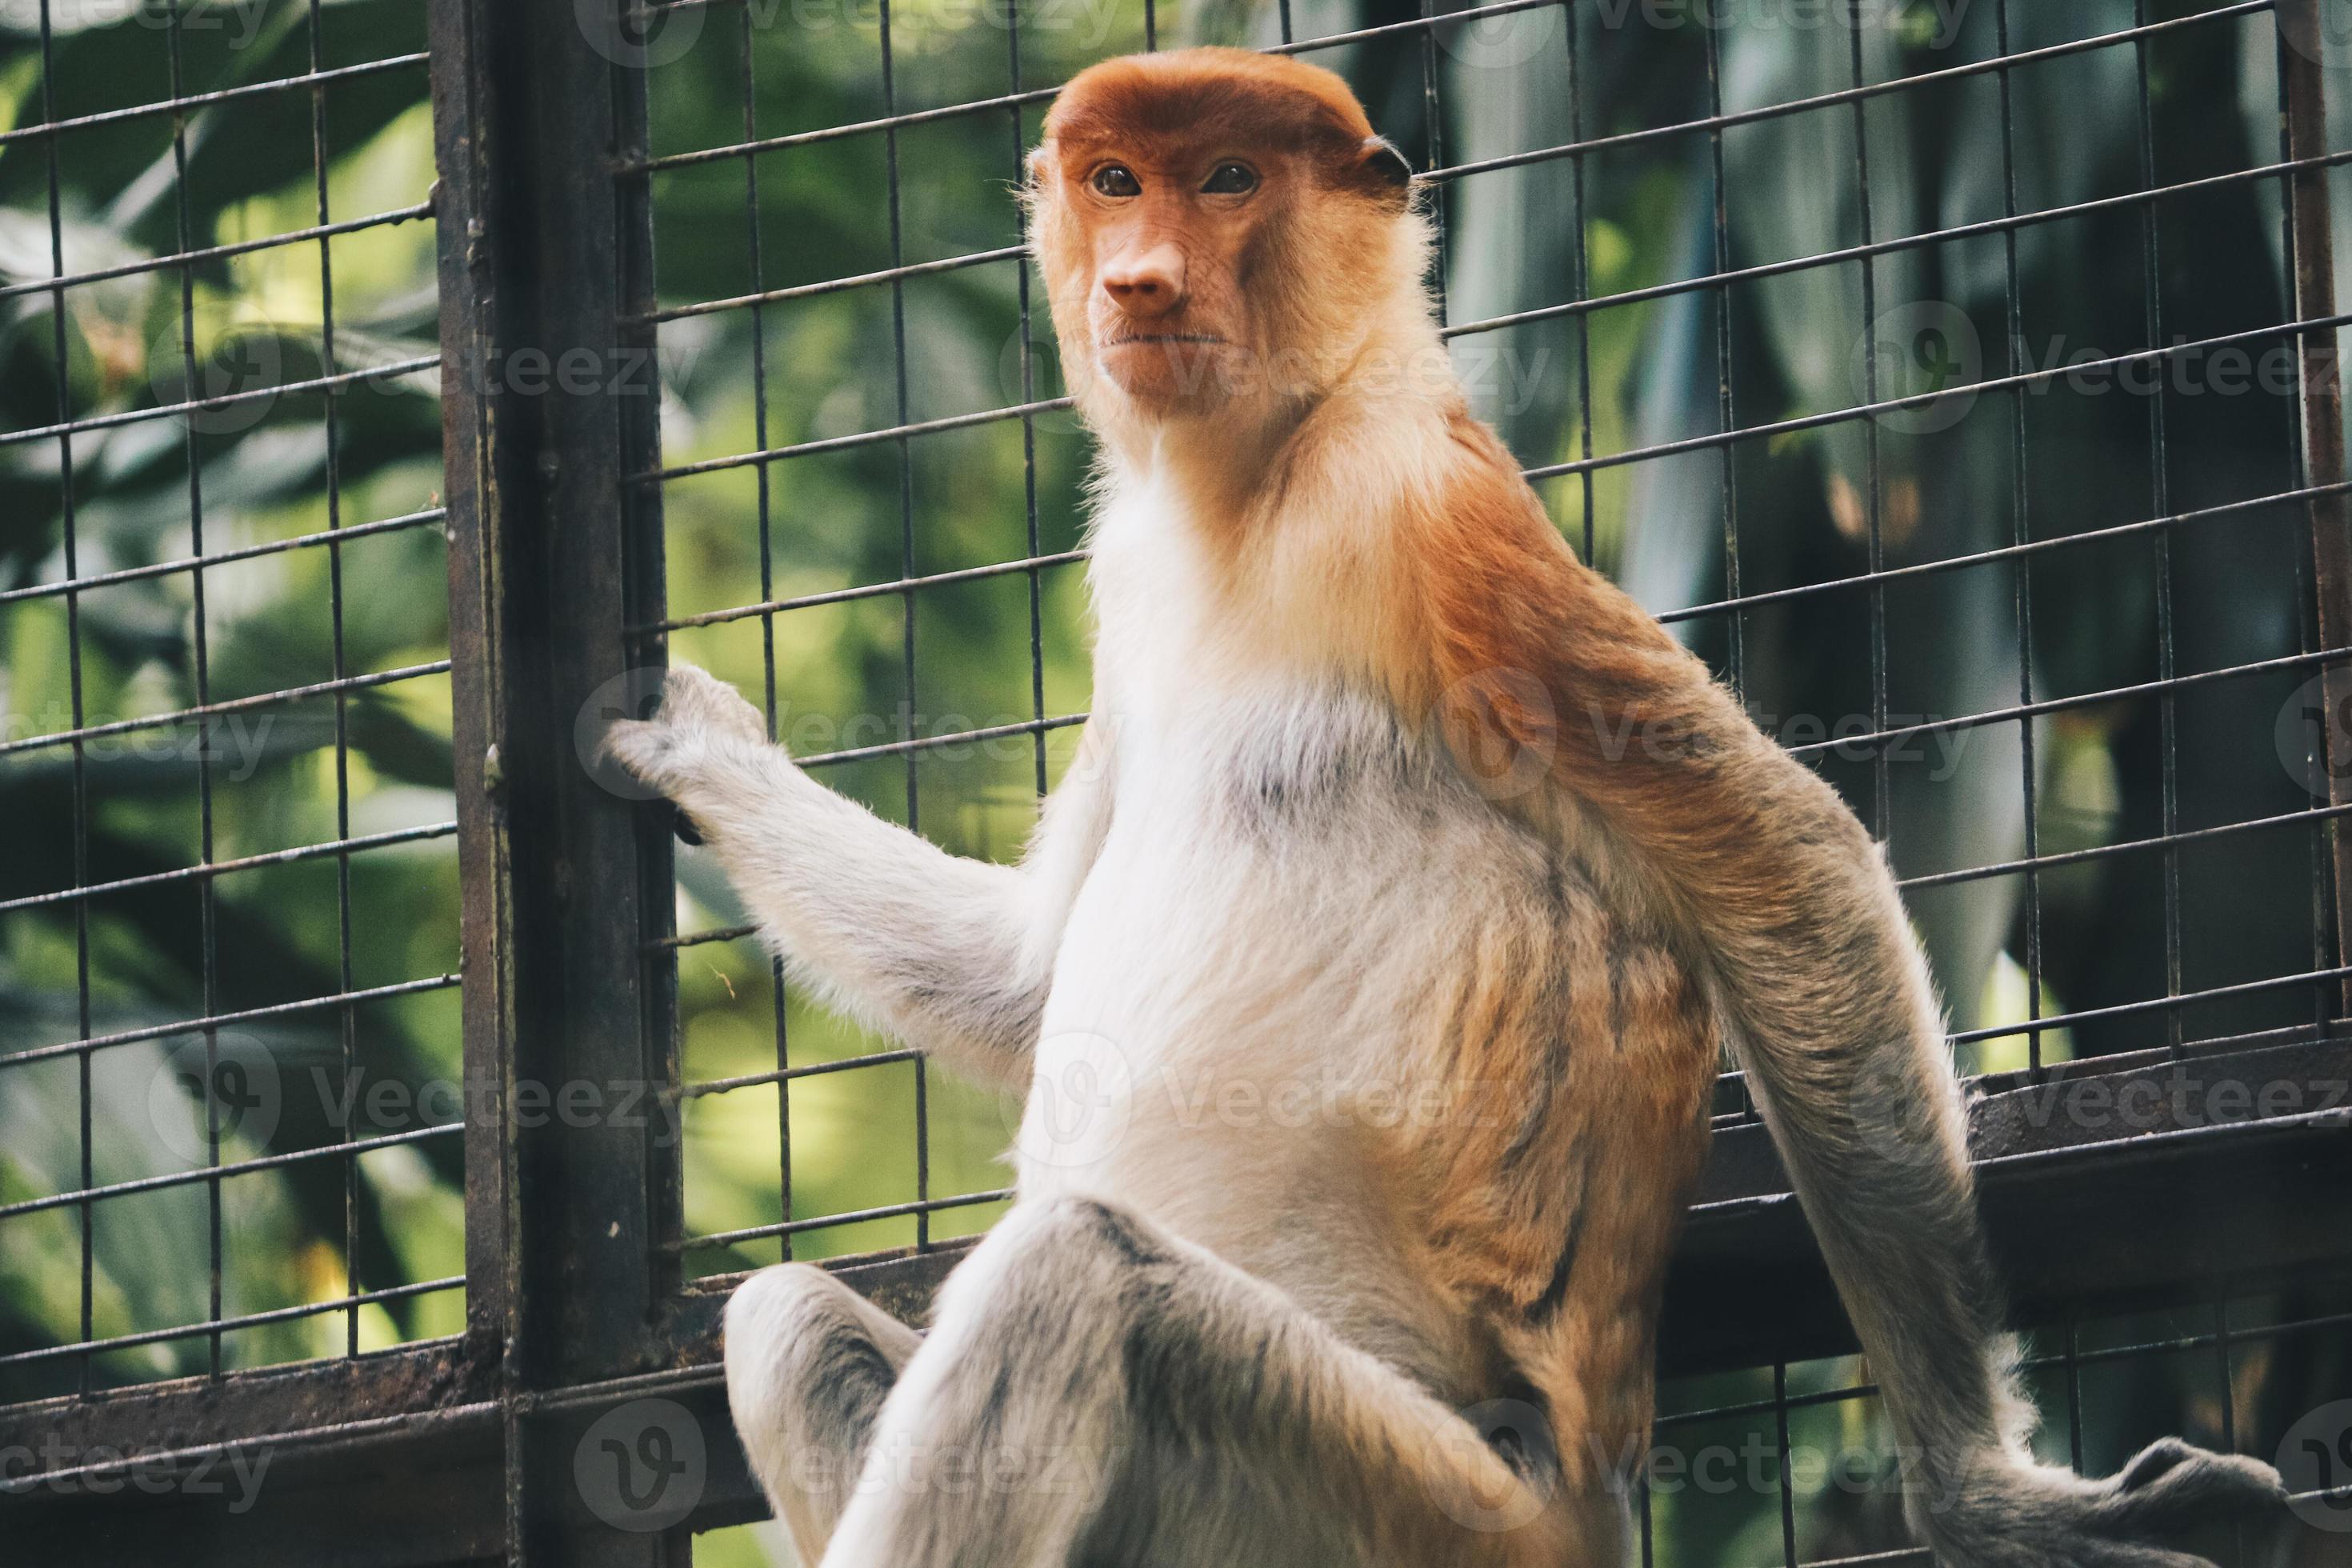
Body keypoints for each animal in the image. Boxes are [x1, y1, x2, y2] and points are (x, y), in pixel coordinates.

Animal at [602, 42, 2276, 1561]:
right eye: (1114, 182)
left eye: (1229, 178)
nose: (1135, 284)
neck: (1255, 484)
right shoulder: (1128, 578)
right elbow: (1024, 976)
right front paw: (693, 744)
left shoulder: (1417, 509)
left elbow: (1777, 858)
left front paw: (1990, 1496)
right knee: (786, 1319)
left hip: (1417, 1502)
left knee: (1075, 1281)